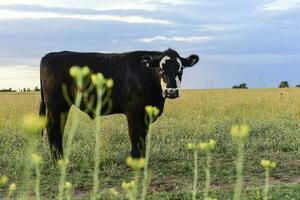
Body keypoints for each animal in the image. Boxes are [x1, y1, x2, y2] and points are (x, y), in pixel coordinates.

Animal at [39, 47, 199, 159]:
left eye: (181, 69)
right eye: (160, 69)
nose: (171, 91)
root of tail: (50, 55)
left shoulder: (146, 113)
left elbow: (143, 134)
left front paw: (142, 157)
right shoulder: (133, 109)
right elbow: (134, 133)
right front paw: (135, 158)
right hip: (56, 105)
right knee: (53, 128)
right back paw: (58, 160)